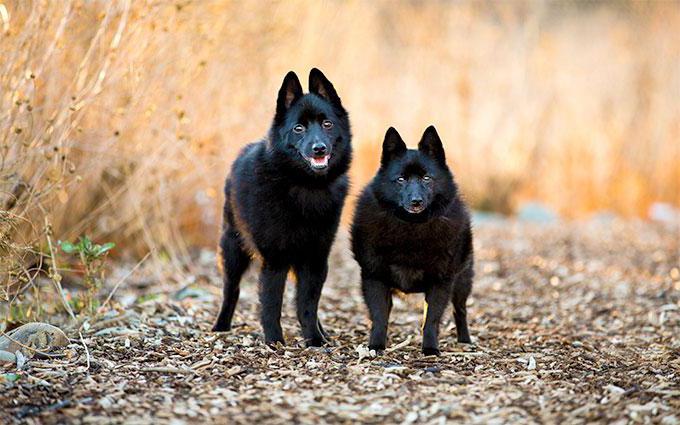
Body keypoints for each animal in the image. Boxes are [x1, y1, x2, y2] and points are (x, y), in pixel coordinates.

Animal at [211, 68, 350, 346]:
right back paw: (221, 326)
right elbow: (272, 304)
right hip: (232, 249)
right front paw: (274, 340)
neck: (306, 187)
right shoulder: (275, 259)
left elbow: (307, 304)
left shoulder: (315, 259)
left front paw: (314, 339)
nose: (319, 148)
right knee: (231, 290)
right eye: (298, 128)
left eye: (327, 124)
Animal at [350, 126, 472, 354]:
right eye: (401, 179)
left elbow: (431, 319)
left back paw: (465, 341)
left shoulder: (441, 282)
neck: (411, 228)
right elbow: (379, 316)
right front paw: (376, 346)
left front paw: (430, 349)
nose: (416, 201)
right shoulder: (374, 278)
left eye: (426, 178)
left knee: (460, 311)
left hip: (462, 282)